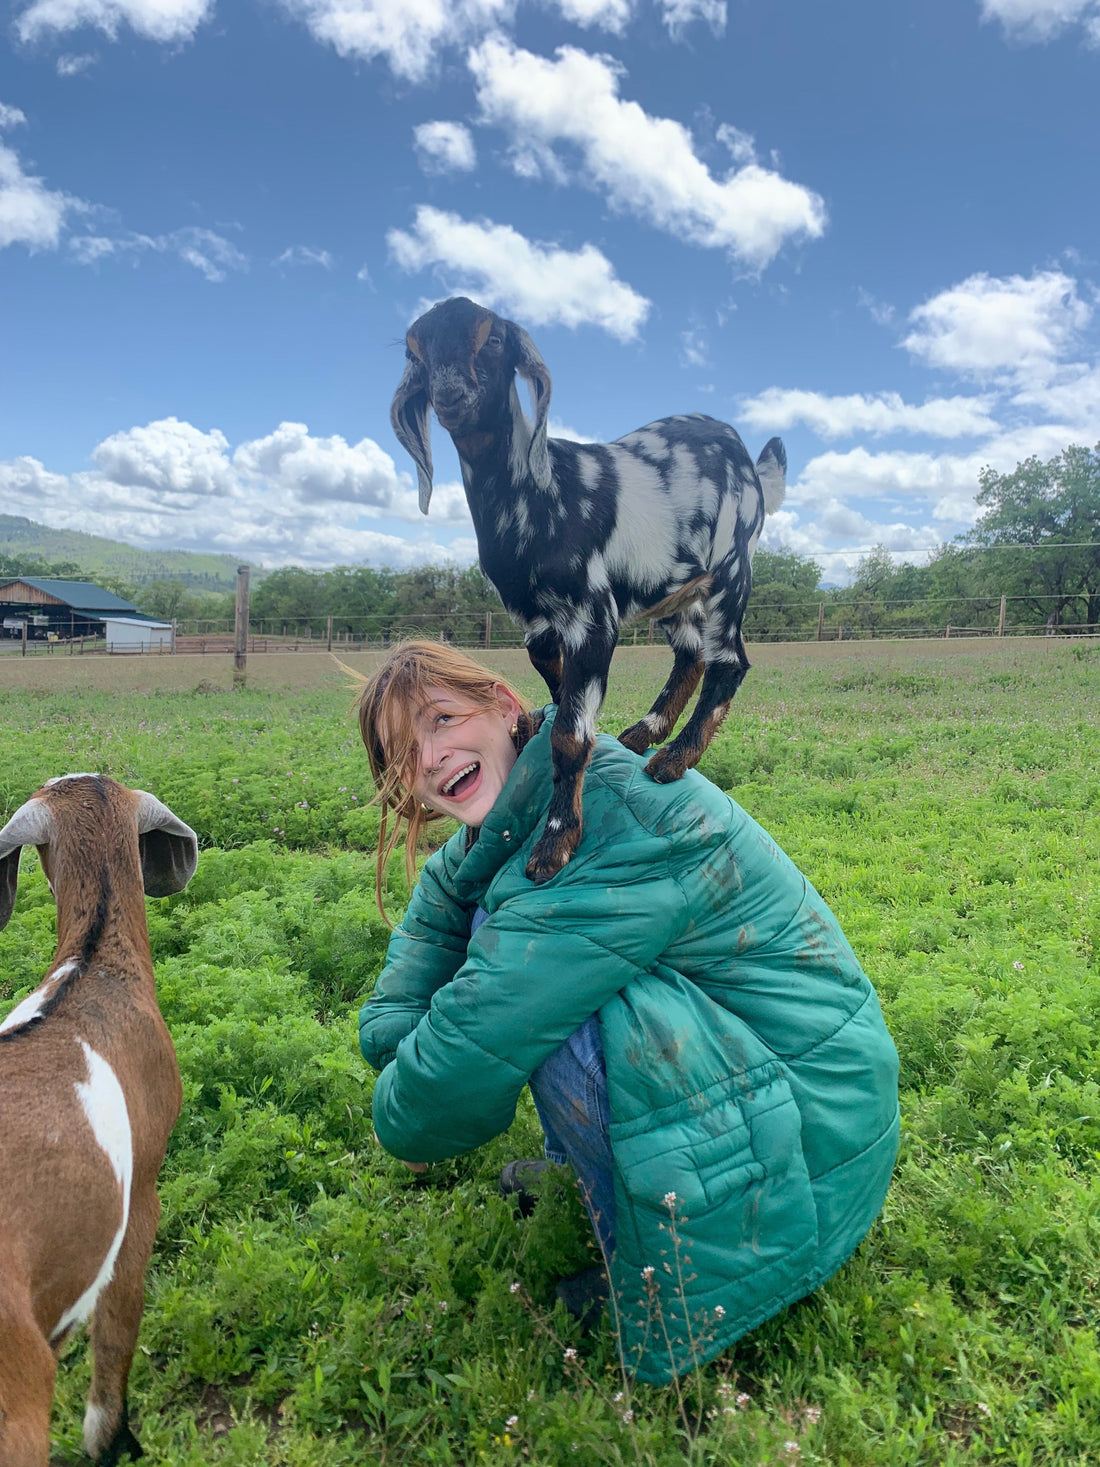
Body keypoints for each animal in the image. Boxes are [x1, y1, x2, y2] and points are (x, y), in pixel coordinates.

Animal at [391, 295, 786, 882]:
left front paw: (556, 843)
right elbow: (560, 696)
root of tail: (748, 459)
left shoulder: (592, 613)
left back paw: (673, 760)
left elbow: (570, 735)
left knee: (729, 661)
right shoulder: (535, 622)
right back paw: (644, 734)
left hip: (731, 570)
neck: (538, 494)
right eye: (415, 354)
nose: (450, 395)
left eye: (493, 340)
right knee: (690, 654)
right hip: (673, 586)